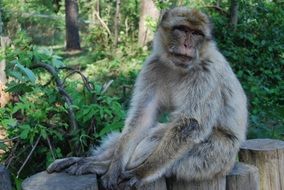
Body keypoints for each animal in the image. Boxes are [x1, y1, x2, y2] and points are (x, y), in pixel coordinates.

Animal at [46, 6, 246, 189]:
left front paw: (141, 172)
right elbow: (142, 117)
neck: (178, 67)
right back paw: (91, 161)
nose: (188, 45)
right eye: (182, 29)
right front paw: (114, 168)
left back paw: (101, 166)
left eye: (197, 34)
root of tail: (232, 162)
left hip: (214, 159)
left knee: (159, 135)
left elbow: (189, 125)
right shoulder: (153, 66)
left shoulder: (206, 74)